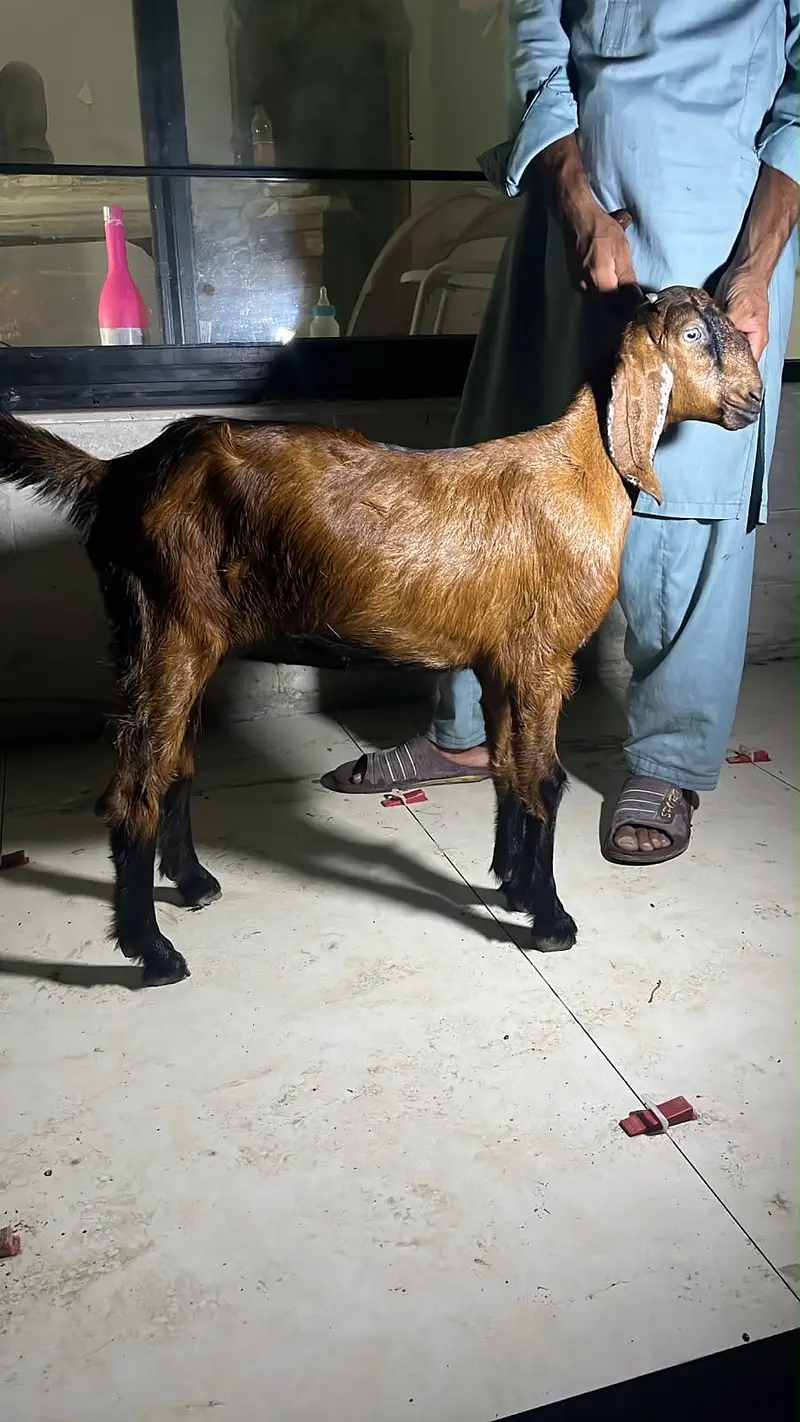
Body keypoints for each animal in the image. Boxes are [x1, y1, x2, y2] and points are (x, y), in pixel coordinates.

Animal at [0, 286, 762, 985]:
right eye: (694, 334)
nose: (754, 399)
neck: (582, 469)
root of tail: (117, 474)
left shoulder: (500, 661)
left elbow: (508, 769)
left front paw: (512, 887)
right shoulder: (542, 659)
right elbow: (544, 779)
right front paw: (551, 921)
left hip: (177, 638)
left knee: (175, 766)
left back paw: (193, 884)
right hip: (168, 628)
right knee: (135, 786)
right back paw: (153, 953)